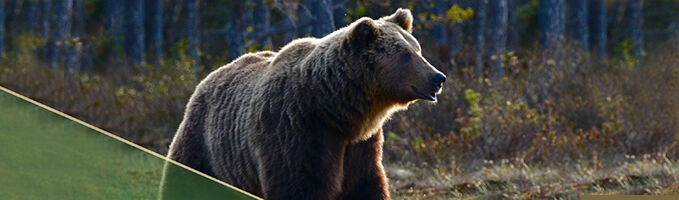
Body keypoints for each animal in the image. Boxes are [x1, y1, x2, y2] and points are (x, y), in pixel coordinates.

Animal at [159, 8, 446, 199]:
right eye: (405, 55)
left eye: (417, 49)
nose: (438, 77)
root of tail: (208, 77)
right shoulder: (295, 131)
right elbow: (299, 185)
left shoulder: (361, 146)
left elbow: (364, 185)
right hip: (204, 144)